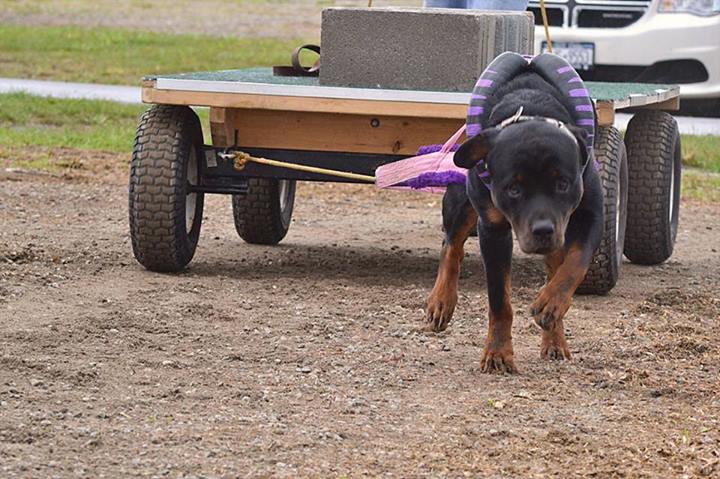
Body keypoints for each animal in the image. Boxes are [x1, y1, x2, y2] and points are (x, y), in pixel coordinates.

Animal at [424, 69, 604, 376]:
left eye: (563, 183)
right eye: (513, 189)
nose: (543, 229)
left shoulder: (591, 214)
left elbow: (574, 265)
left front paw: (551, 303)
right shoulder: (493, 230)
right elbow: (500, 301)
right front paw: (497, 354)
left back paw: (555, 339)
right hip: (462, 198)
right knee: (451, 245)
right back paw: (441, 302)